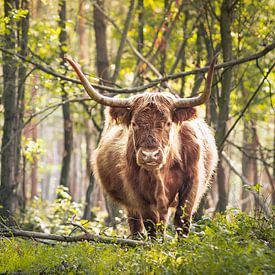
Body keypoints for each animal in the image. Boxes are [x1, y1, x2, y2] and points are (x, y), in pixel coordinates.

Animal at [66, 55, 219, 239]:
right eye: (134, 123)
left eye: (168, 123)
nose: (150, 155)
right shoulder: (138, 192)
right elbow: (151, 223)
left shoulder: (191, 184)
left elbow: (182, 220)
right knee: (137, 225)